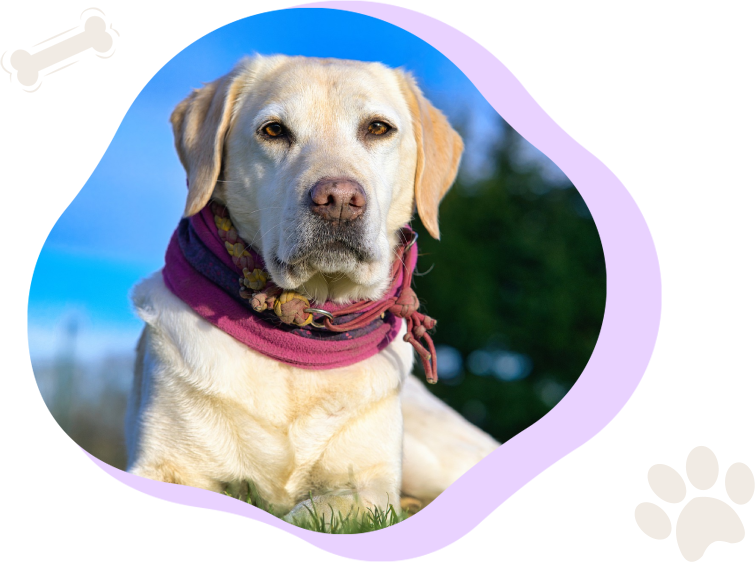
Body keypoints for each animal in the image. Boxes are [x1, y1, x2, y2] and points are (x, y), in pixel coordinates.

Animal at [126, 53, 500, 520]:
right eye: (273, 130)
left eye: (378, 128)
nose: (339, 200)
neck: (306, 330)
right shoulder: (165, 466)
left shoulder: (371, 488)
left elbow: (316, 509)